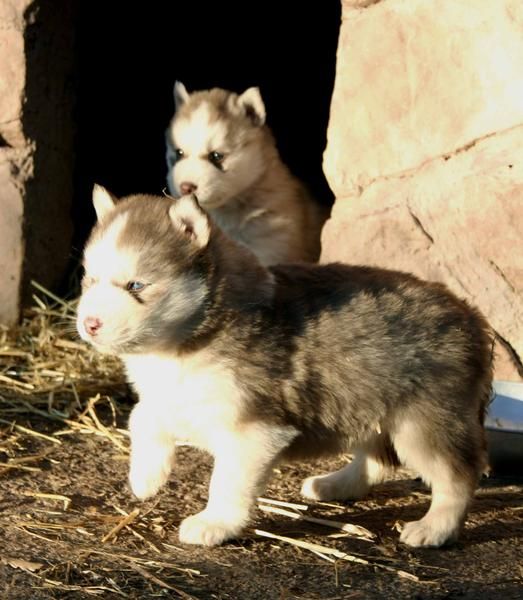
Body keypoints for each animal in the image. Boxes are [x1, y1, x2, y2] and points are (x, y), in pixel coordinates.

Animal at [75, 188, 494, 548]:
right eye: (90, 280)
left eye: (136, 285)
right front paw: (145, 477)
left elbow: (226, 481)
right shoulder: (173, 395)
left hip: (423, 423)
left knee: (458, 476)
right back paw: (334, 485)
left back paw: (435, 528)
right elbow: (141, 417)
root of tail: (471, 315)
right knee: (377, 461)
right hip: (368, 402)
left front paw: (214, 523)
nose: (89, 323)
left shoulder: (254, 430)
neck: (184, 343)